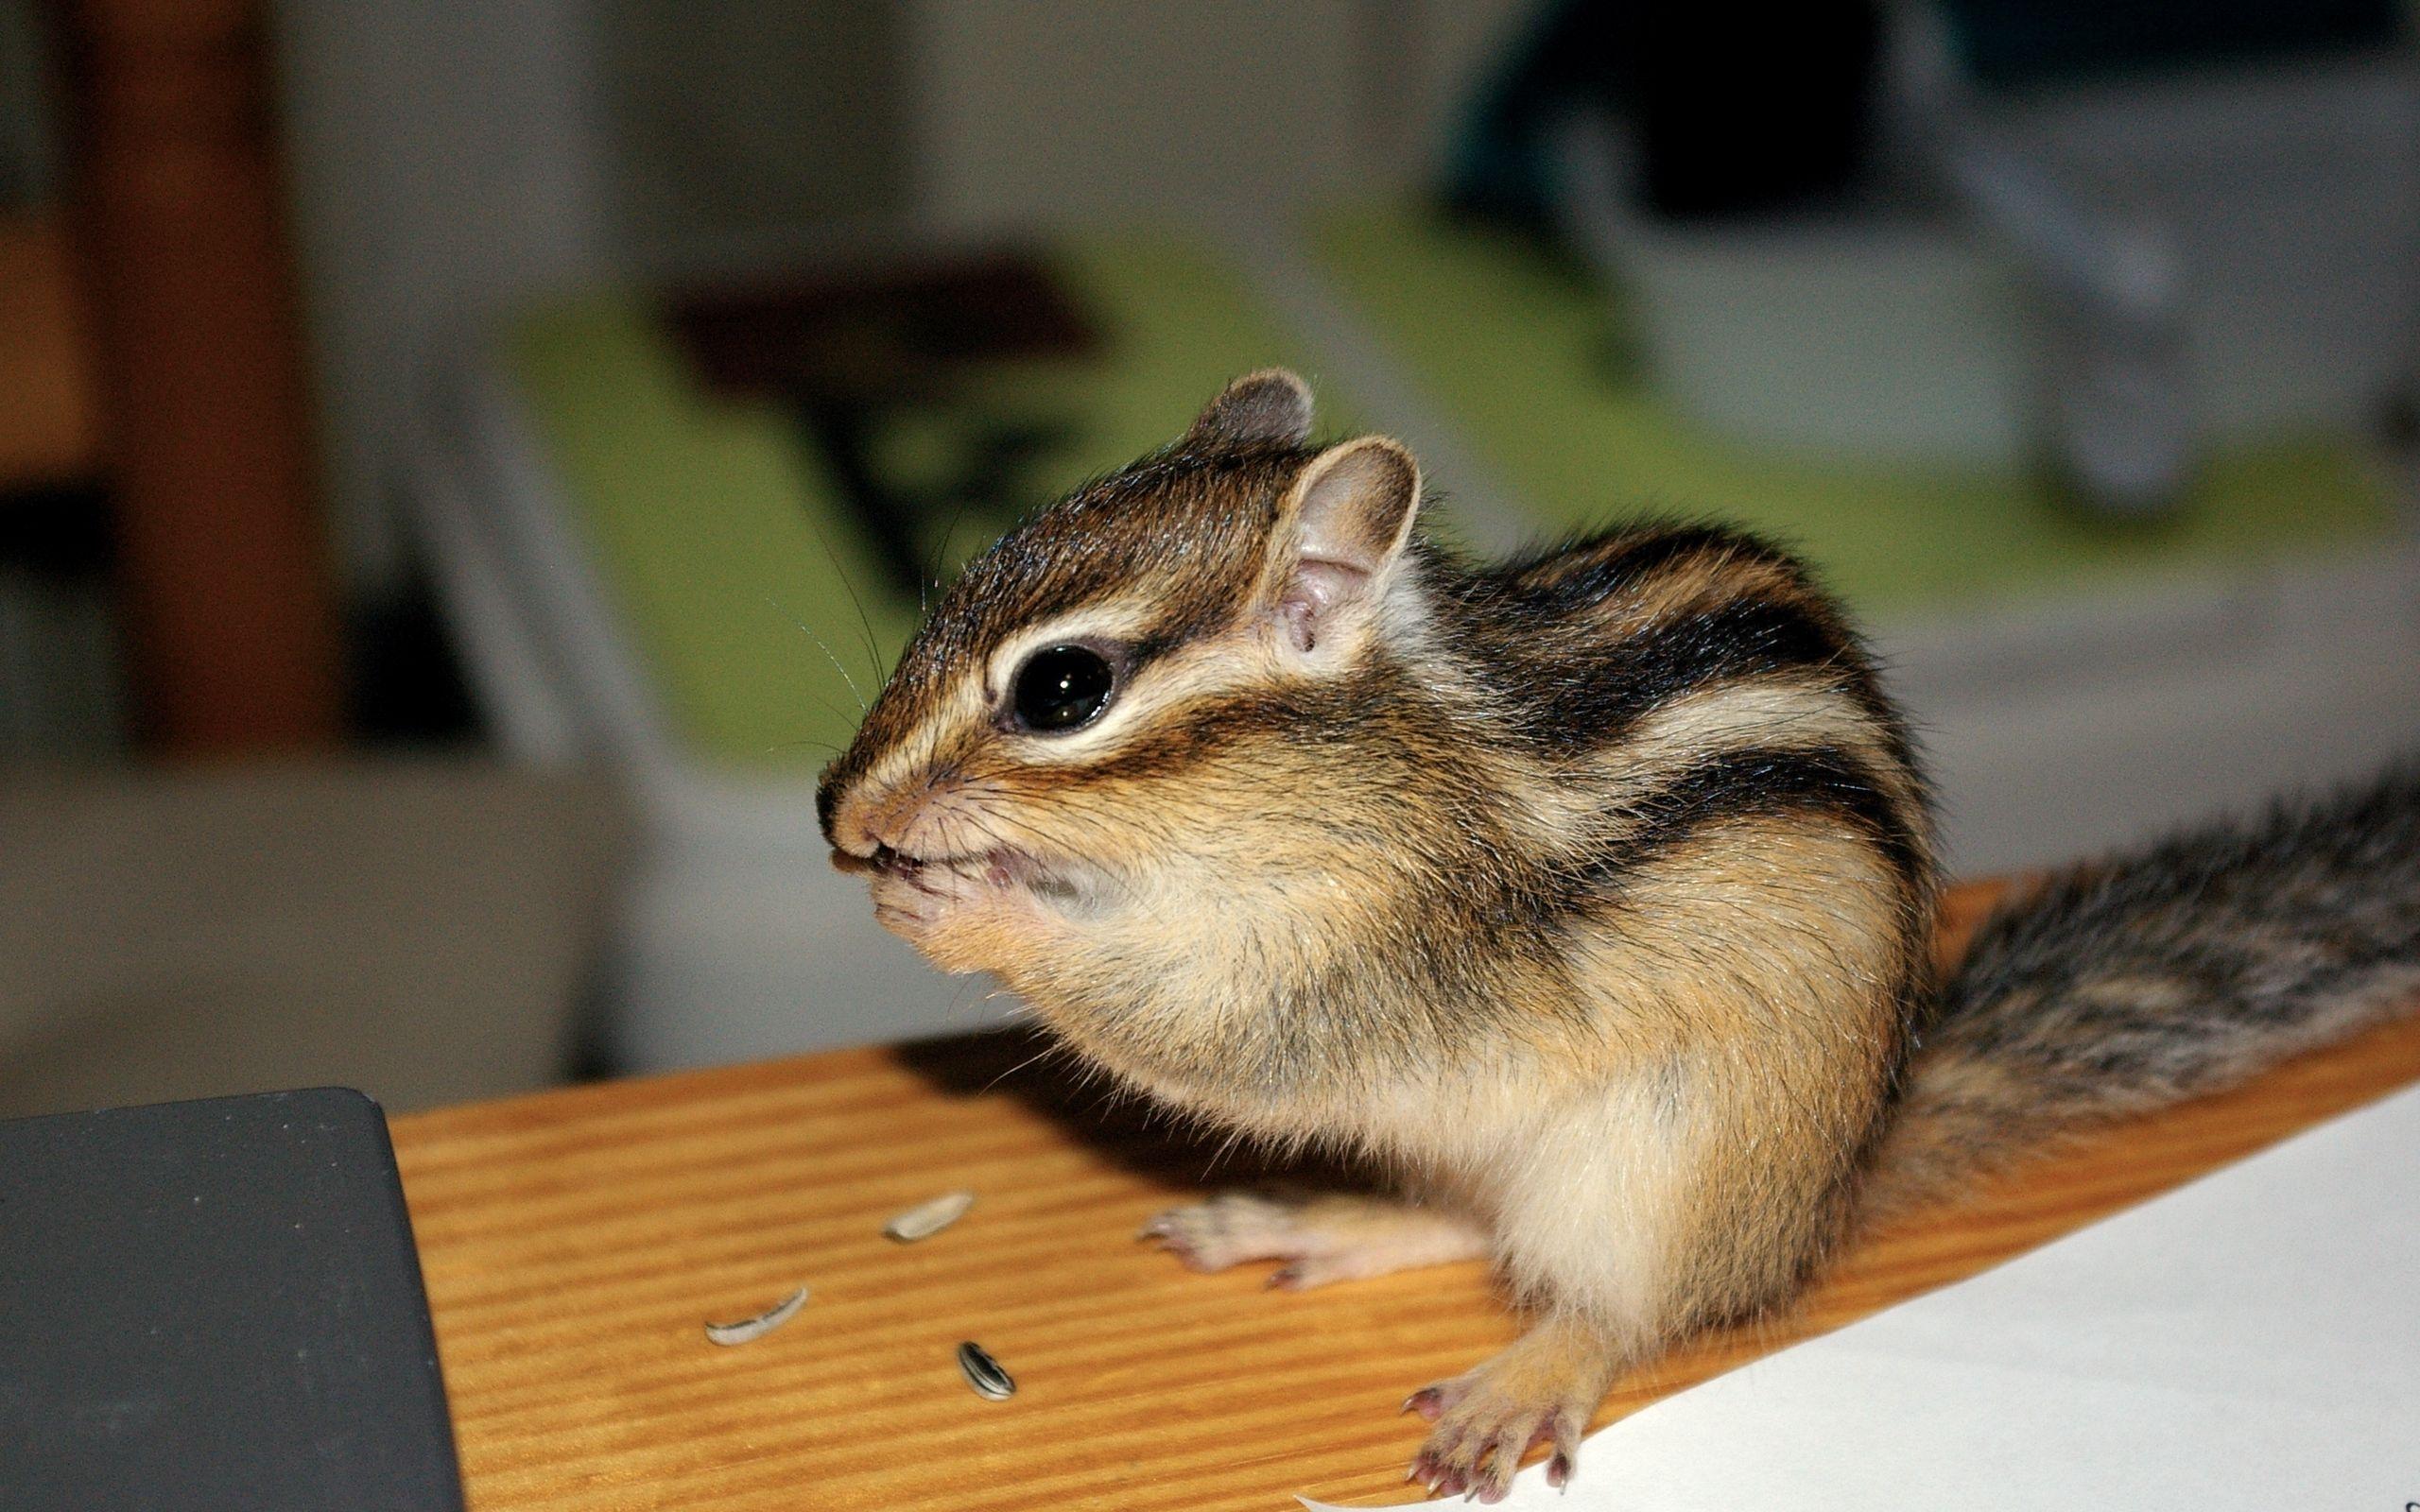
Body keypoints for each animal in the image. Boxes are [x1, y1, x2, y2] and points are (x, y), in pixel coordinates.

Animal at [818, 370, 2420, 1501]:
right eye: (966, 582)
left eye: (1064, 689)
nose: (840, 811)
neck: (1371, 766)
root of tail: (1834, 1186)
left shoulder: (1376, 956)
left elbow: (1207, 1035)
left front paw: (959, 907)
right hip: (1486, 1146)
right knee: (1465, 1219)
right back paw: (1315, 1222)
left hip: (1661, 1169)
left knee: (1628, 1305)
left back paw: (1527, 1374)